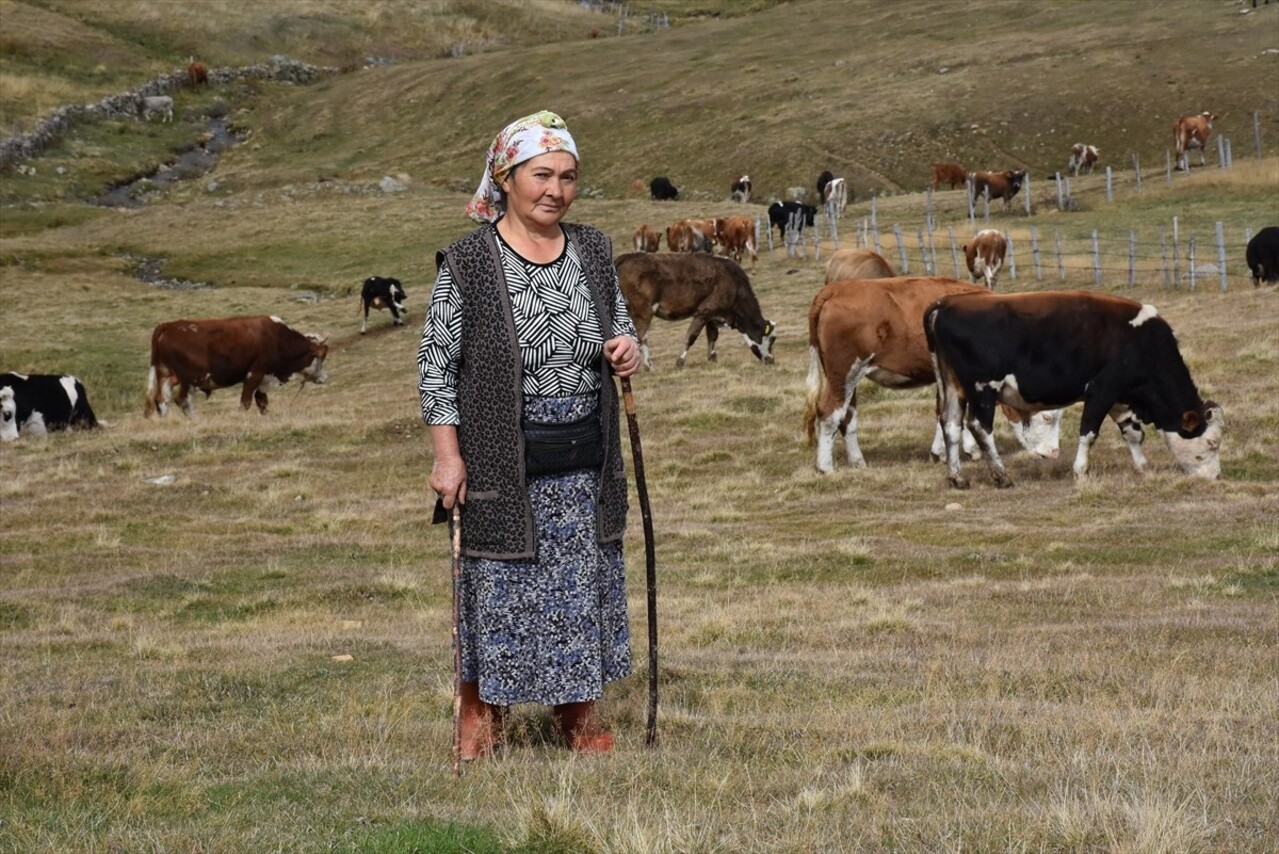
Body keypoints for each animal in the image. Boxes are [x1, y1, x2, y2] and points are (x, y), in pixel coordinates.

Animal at [143, 317, 329, 416]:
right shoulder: (255, 373)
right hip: (190, 379)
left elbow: (262, 401)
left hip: (166, 375)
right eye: (320, 359)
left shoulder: (265, 378)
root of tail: (169, 325)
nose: (325, 378)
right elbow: (246, 401)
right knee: (182, 400)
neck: (278, 338)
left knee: (162, 400)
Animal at [613, 248, 772, 365]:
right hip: (643, 311)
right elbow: (691, 336)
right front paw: (680, 362)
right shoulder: (704, 311)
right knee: (641, 337)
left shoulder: (713, 315)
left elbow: (712, 336)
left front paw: (712, 358)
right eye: (772, 339)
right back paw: (648, 366)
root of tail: (627, 257)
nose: (771, 360)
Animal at [925, 294, 1222, 490]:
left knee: (950, 425)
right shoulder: (1102, 390)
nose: (1216, 477)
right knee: (980, 427)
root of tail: (946, 304)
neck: (1142, 342)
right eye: (1211, 443)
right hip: (983, 390)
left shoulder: (1120, 396)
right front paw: (1081, 472)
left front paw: (1143, 467)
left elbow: (1133, 433)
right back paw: (1001, 475)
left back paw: (957, 477)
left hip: (952, 387)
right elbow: (1088, 433)